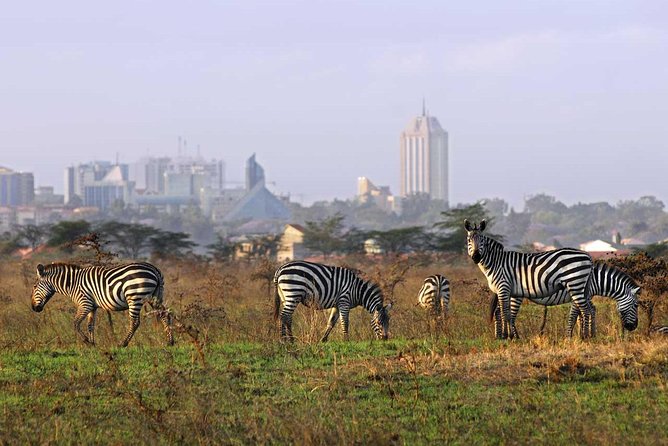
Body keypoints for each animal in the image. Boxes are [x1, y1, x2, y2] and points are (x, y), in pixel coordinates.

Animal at [31, 262, 174, 348]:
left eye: (34, 286)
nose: (33, 308)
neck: (72, 283)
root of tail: (154, 269)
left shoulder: (85, 304)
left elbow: (76, 323)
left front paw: (87, 341)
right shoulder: (92, 306)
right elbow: (90, 325)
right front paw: (93, 343)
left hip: (135, 297)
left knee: (135, 322)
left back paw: (123, 343)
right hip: (154, 296)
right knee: (164, 314)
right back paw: (170, 342)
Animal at [464, 219, 596, 338]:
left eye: (482, 240)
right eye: (469, 240)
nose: (476, 257)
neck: (496, 263)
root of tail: (587, 255)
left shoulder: (503, 288)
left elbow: (505, 312)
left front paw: (507, 335)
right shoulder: (508, 291)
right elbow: (506, 313)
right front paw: (509, 336)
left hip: (575, 284)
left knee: (585, 310)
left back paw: (585, 337)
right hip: (581, 287)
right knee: (588, 309)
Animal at [488, 262, 640, 338]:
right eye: (636, 305)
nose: (633, 327)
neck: (596, 279)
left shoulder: (585, 296)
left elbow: (586, 313)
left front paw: (588, 334)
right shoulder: (579, 295)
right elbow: (576, 315)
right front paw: (572, 336)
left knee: (498, 311)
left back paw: (499, 336)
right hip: (515, 296)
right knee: (507, 313)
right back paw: (511, 336)